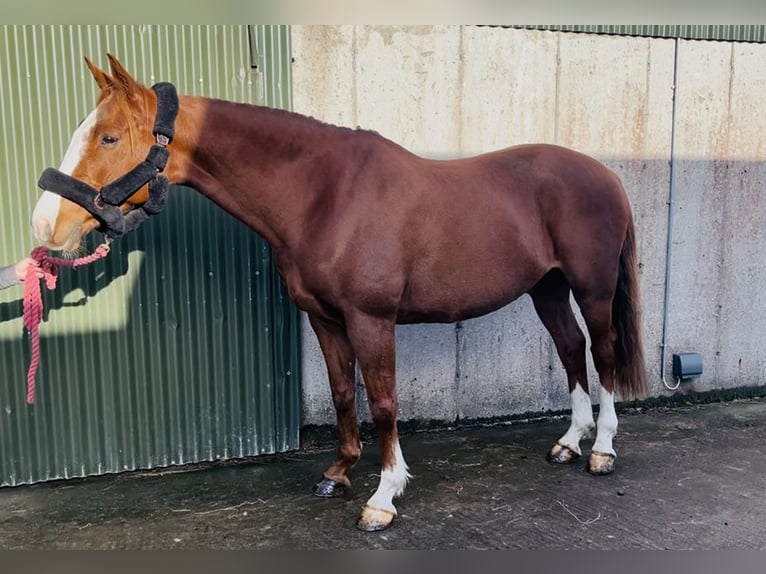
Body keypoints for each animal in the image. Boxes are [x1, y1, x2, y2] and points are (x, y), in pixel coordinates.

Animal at [30, 54, 647, 532]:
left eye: (109, 137)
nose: (45, 226)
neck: (325, 194)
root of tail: (608, 176)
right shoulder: (325, 318)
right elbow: (343, 392)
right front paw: (338, 473)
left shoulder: (370, 318)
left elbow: (383, 402)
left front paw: (384, 496)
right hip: (547, 289)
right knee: (570, 349)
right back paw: (569, 442)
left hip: (591, 288)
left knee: (603, 353)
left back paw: (602, 450)